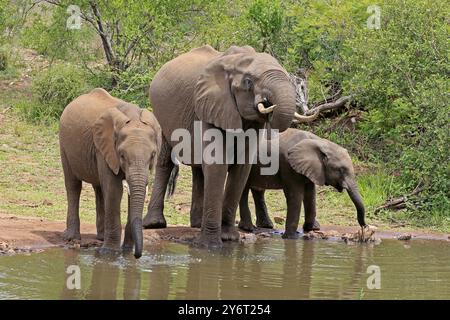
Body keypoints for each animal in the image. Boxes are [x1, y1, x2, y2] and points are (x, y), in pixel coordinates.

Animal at [59, 87, 162, 258]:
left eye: (153, 155)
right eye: (122, 155)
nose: (138, 255)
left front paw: (126, 251)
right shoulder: (105, 148)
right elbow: (114, 190)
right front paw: (109, 253)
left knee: (99, 188)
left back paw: (101, 238)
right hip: (64, 144)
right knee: (73, 185)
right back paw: (72, 238)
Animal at [142, 44, 300, 248]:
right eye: (248, 82)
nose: (268, 105)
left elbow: (241, 168)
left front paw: (229, 238)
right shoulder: (209, 105)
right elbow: (217, 162)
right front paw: (211, 245)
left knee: (198, 169)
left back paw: (196, 224)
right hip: (162, 115)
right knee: (165, 161)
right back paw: (155, 223)